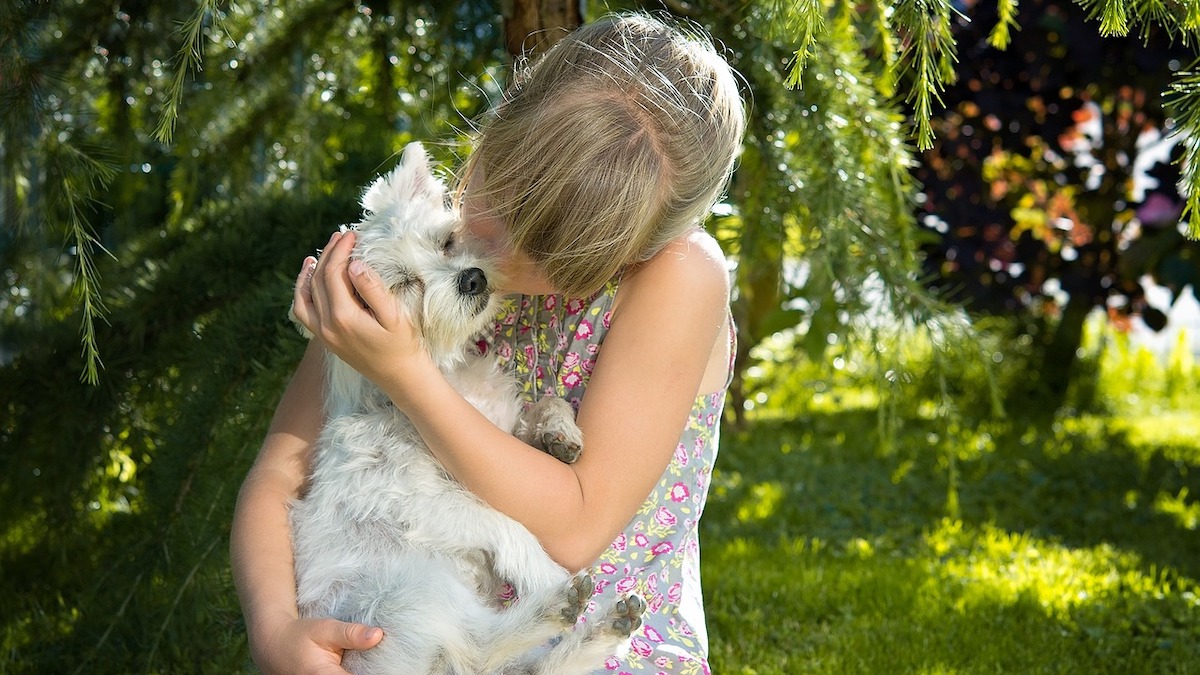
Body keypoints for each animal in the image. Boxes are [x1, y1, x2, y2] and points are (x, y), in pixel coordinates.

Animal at [288, 142, 648, 672]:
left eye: (447, 241)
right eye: (404, 284)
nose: (472, 278)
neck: (448, 380)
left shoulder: (498, 427)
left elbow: (544, 402)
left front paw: (559, 434)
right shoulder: (419, 501)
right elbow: (504, 522)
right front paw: (543, 570)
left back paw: (602, 630)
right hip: (407, 594)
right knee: (481, 647)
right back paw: (559, 604)